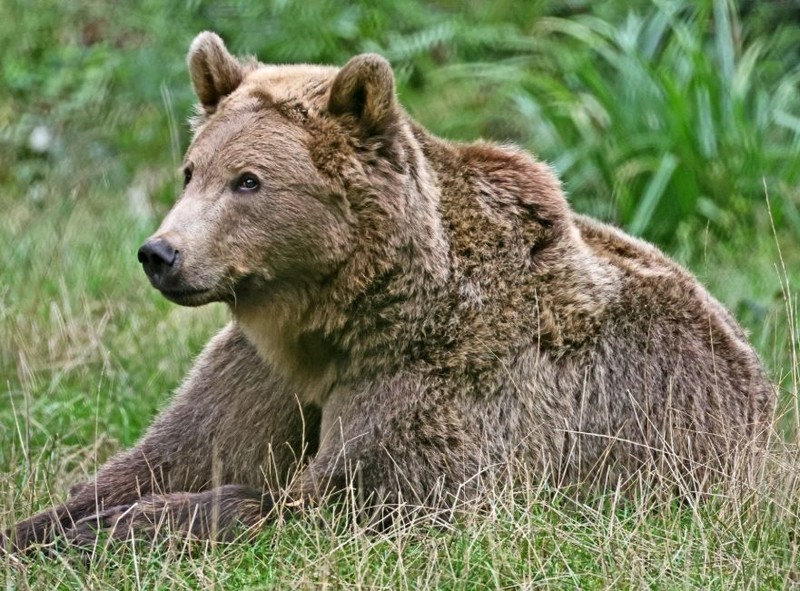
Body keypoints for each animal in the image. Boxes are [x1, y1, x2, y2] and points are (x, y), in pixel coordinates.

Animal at [7, 31, 776, 552]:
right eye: (191, 170)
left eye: (248, 180)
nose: (161, 253)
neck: (334, 321)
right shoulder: (261, 369)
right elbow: (168, 454)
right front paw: (46, 526)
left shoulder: (447, 384)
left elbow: (344, 499)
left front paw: (126, 527)